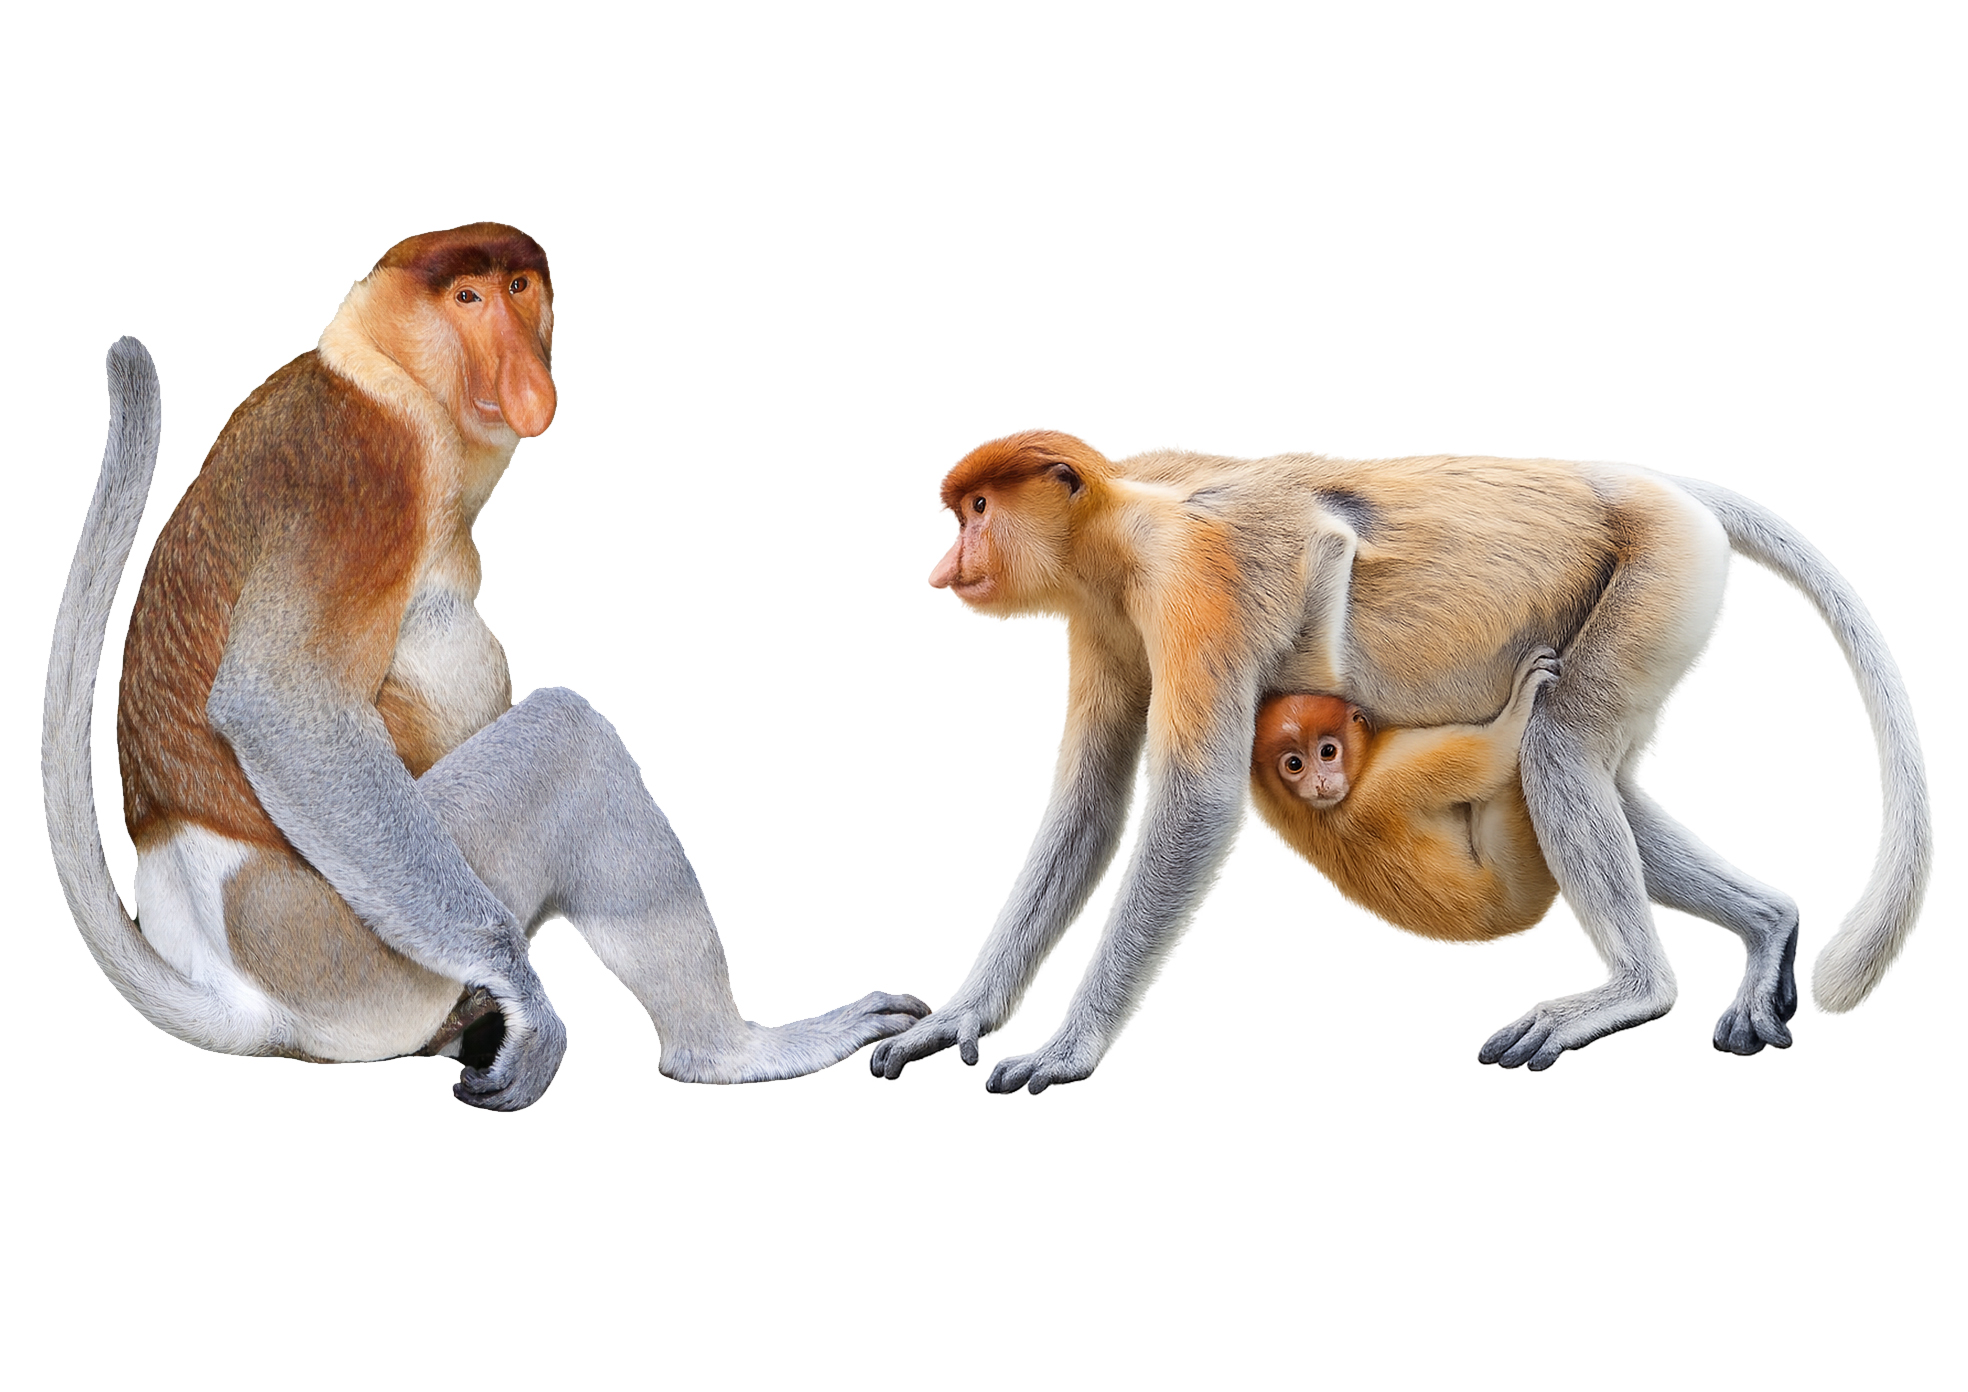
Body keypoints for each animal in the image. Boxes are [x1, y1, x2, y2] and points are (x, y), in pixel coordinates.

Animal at [43, 226, 927, 1110]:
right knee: (570, 738)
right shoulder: (360, 473)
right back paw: (726, 1052)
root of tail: (236, 990)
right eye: (466, 298)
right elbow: (279, 707)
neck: (382, 370)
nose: (524, 373)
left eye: (519, 287)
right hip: (343, 949)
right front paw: (523, 991)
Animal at [1248, 649, 1561, 944]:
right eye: (1294, 764)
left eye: (1327, 751)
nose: (1319, 782)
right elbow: (1491, 756)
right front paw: (1523, 696)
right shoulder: (1390, 772)